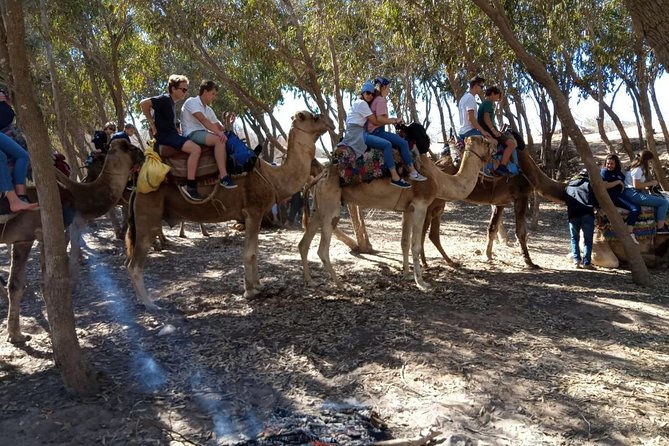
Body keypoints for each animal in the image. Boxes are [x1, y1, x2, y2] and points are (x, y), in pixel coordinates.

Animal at [125, 111, 333, 308]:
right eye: (311, 117)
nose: (329, 121)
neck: (271, 177)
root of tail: (137, 187)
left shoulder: (256, 216)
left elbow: (255, 252)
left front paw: (258, 285)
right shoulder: (253, 212)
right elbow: (248, 252)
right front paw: (249, 291)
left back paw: (141, 301)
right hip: (148, 214)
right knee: (135, 265)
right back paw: (150, 304)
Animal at [298, 135, 496, 289]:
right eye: (484, 141)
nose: (494, 146)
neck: (438, 180)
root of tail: (321, 175)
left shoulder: (407, 209)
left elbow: (404, 243)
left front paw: (407, 275)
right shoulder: (421, 205)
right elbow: (416, 245)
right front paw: (421, 282)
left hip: (318, 207)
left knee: (304, 243)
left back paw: (310, 281)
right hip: (330, 207)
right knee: (322, 249)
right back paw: (341, 284)